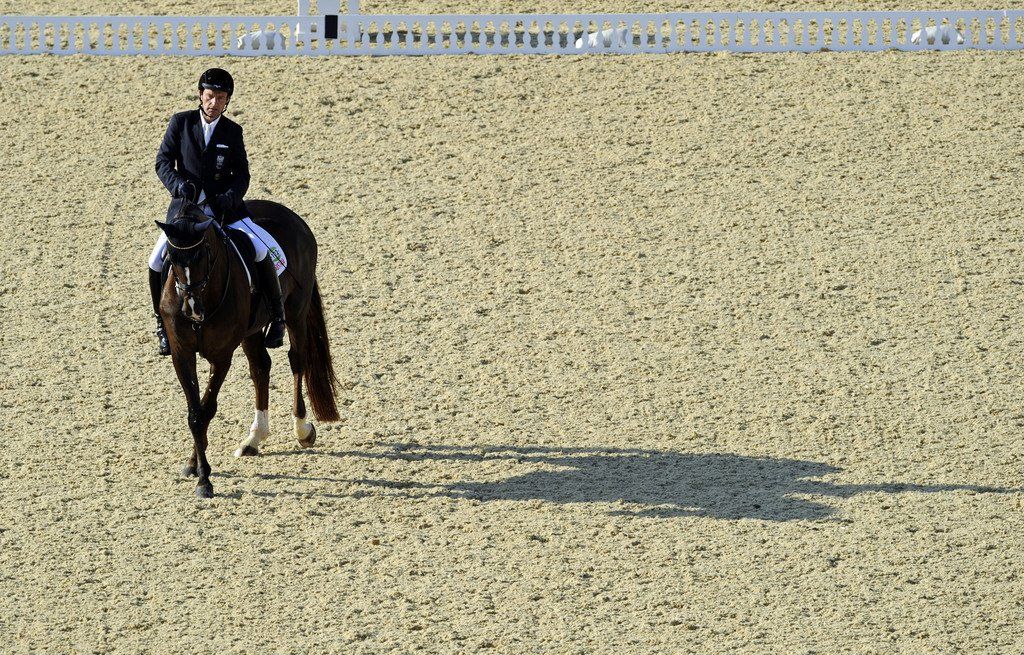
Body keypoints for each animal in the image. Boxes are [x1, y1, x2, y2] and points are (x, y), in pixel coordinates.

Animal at [155, 198, 339, 498]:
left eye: (203, 253)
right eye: (171, 257)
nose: (191, 308)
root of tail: (293, 216)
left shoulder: (221, 357)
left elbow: (206, 409)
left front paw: (204, 480)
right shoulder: (182, 355)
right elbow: (195, 413)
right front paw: (194, 465)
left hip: (296, 311)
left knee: (296, 361)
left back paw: (302, 430)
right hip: (251, 332)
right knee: (261, 367)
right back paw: (254, 438)